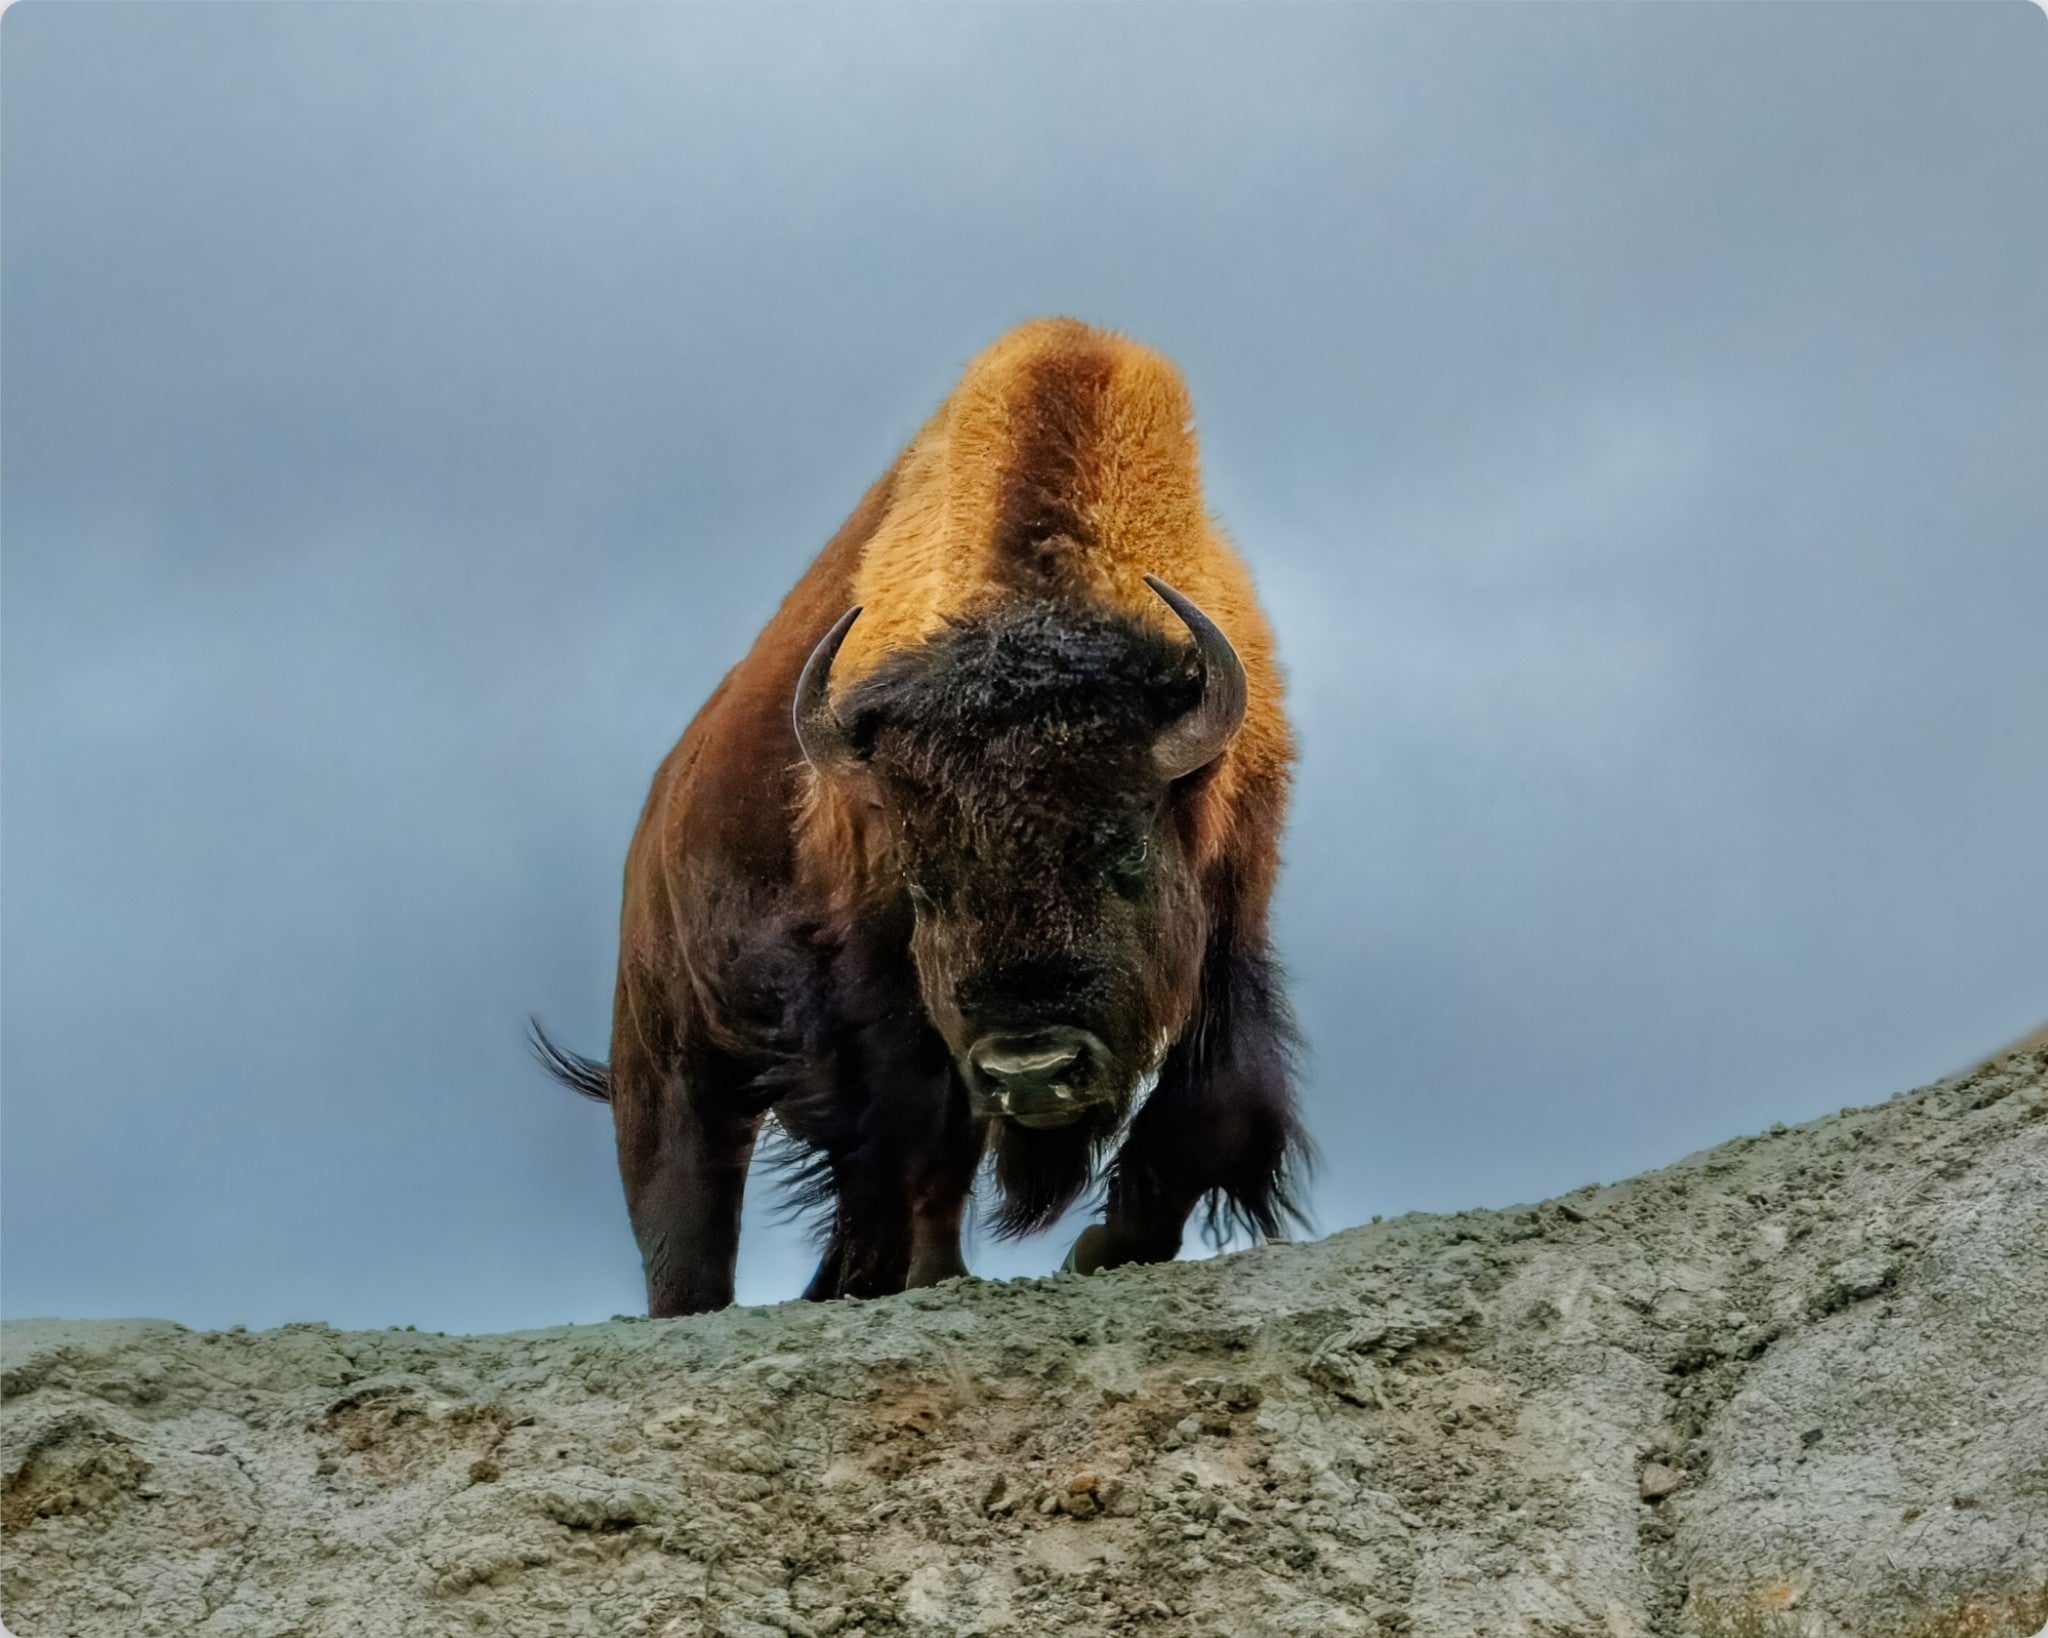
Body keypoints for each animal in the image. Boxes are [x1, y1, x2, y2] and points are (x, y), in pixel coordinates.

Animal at [535, 318, 1307, 1315]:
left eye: (1124, 856)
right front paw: (929, 1274)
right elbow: (918, 1140)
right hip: (668, 1057)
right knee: (689, 1215)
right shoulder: (877, 986)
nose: (1032, 1070)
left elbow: (1222, 1102)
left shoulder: (1233, 906)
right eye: (925, 886)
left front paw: (1105, 1246)